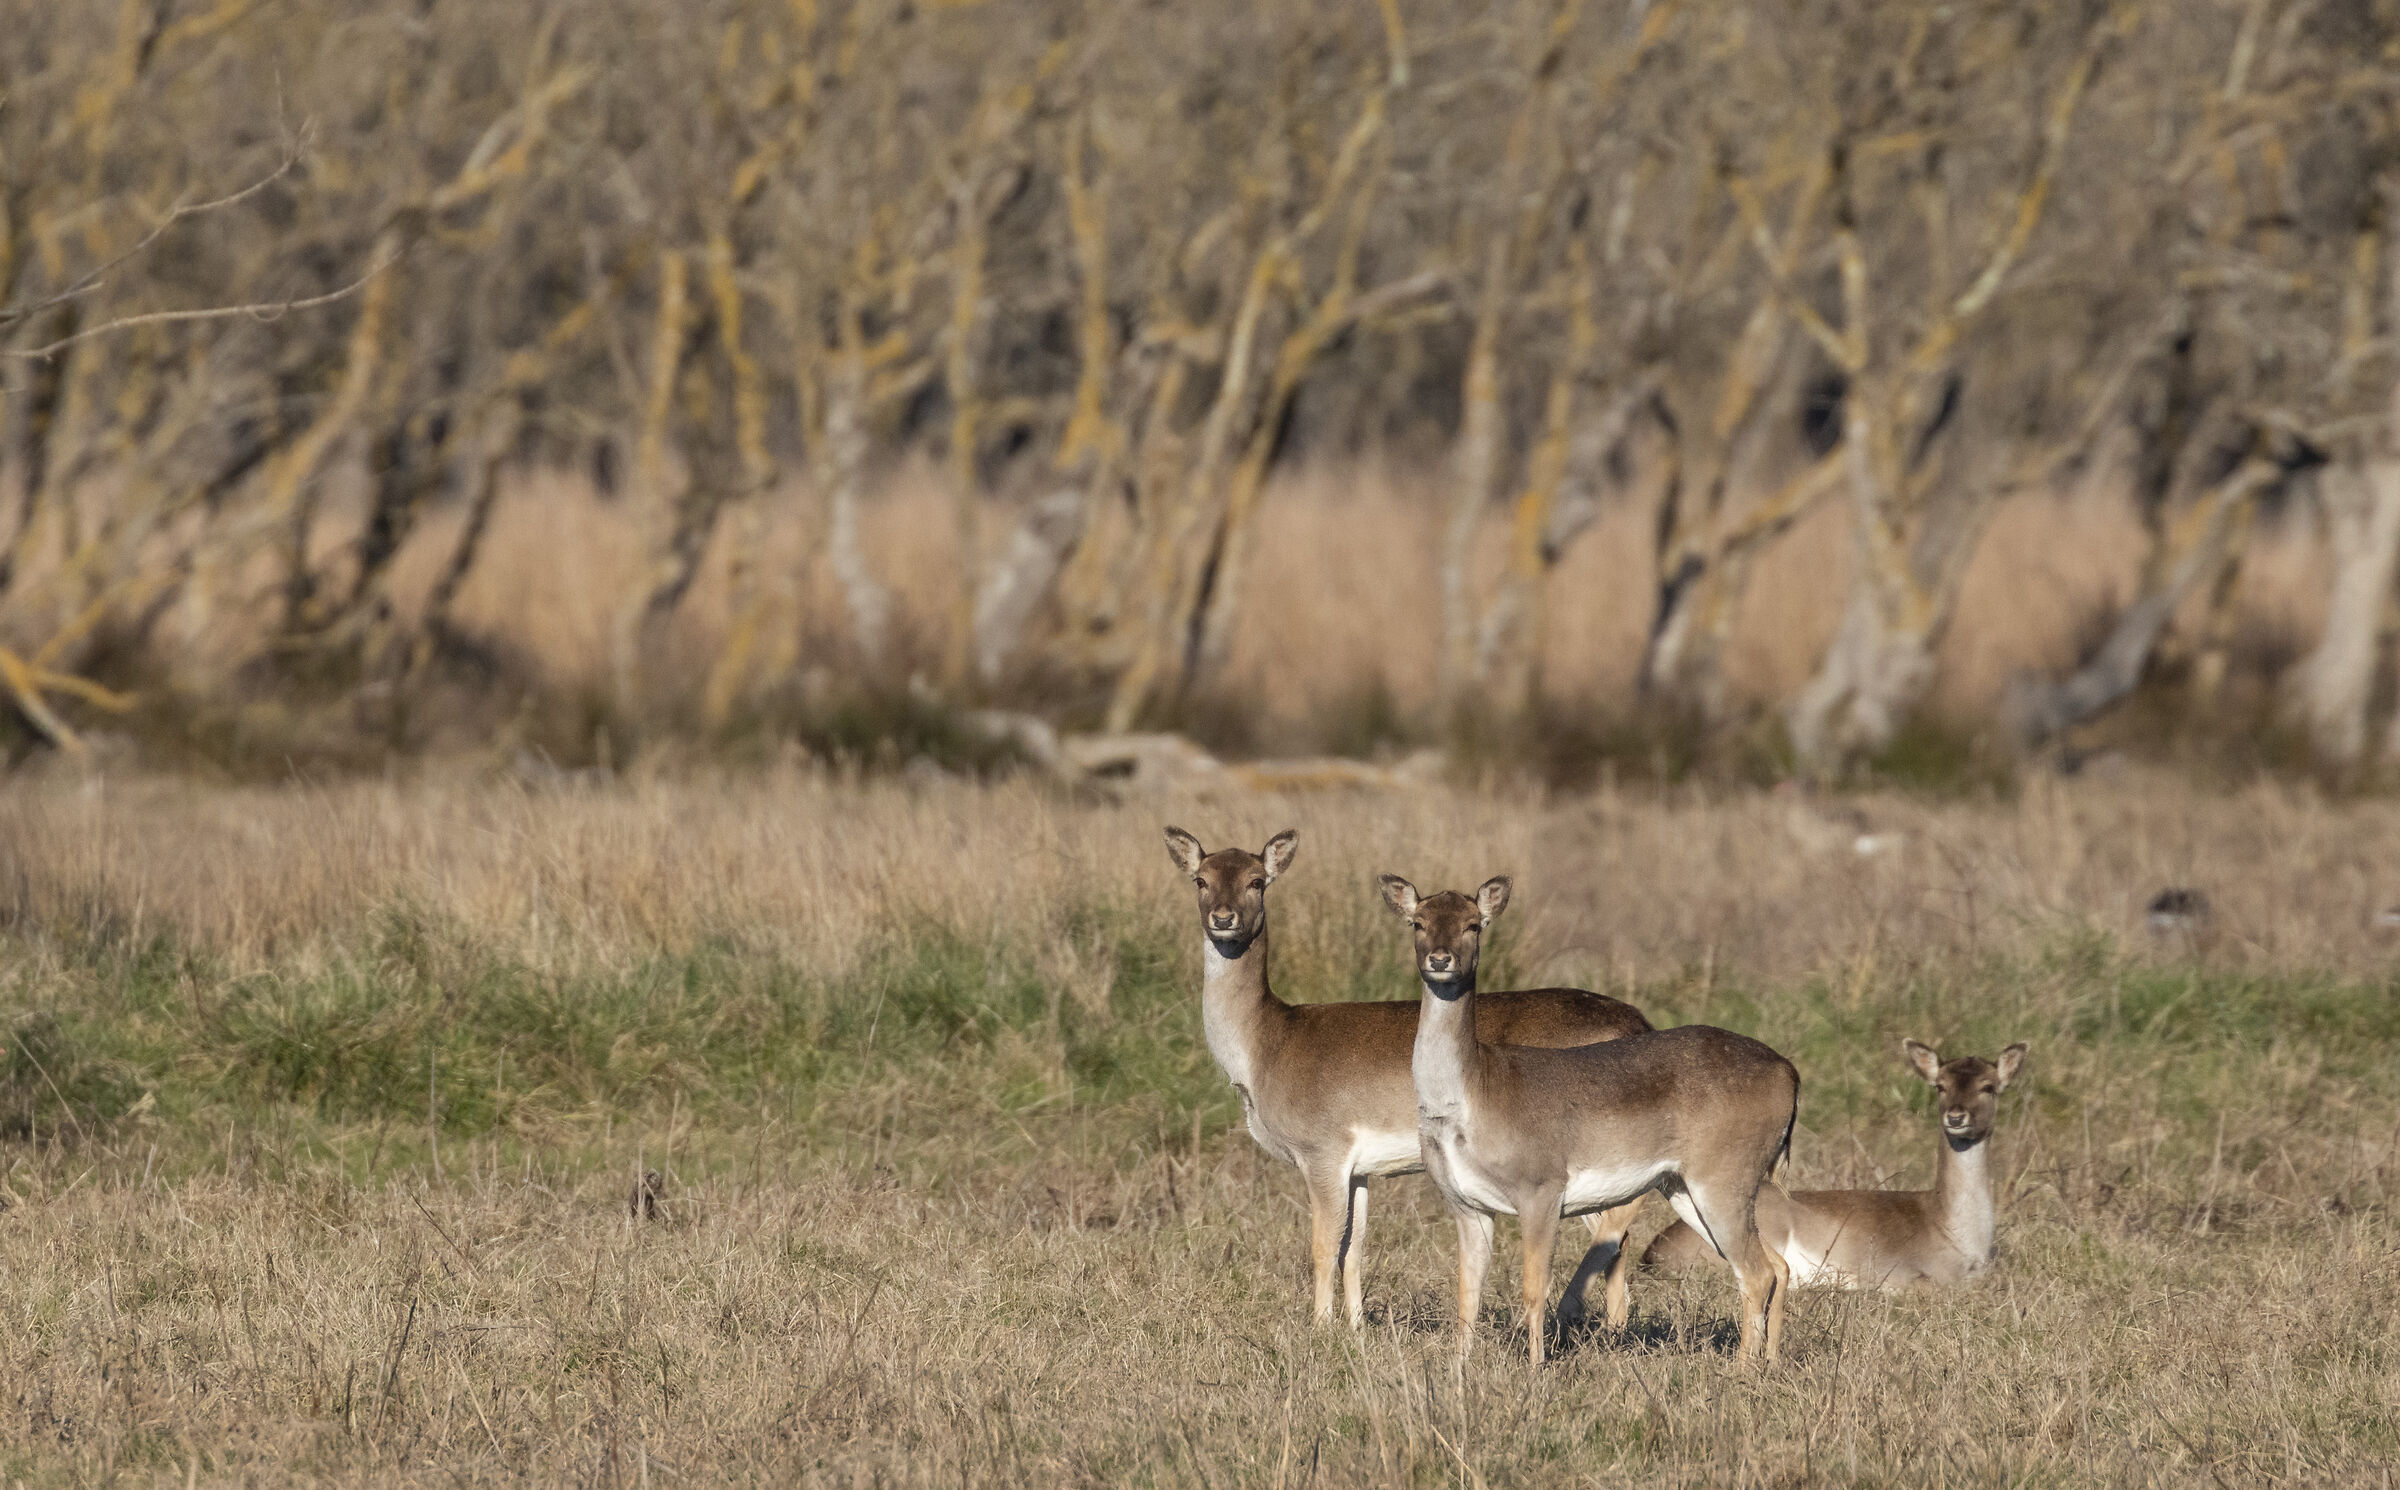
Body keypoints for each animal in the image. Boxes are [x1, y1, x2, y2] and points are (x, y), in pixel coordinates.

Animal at [1163, 827, 1654, 1330]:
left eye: (1257, 881)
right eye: (1201, 879)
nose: (1224, 918)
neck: (1267, 1046)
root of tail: (1638, 1023)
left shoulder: (1322, 1148)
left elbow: (1322, 1245)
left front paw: (1318, 1328)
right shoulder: (1359, 1168)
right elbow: (1353, 1246)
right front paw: (1355, 1328)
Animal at [1380, 873, 1798, 1366]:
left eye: (1473, 925)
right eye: (1418, 922)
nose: (1440, 959)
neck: (1472, 1096)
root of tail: (1789, 1073)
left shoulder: (1542, 1187)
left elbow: (1533, 1288)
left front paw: (1535, 1367)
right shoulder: (1465, 1203)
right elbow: (1467, 1293)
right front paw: (1458, 1367)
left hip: (1724, 1175)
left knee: (1756, 1272)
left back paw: (1742, 1371)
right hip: (1684, 1187)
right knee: (1776, 1265)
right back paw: (1769, 1363)